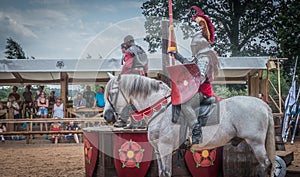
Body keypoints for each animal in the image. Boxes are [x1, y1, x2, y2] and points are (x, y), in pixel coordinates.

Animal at [104, 73, 276, 177]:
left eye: (112, 92)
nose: (107, 116)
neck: (160, 110)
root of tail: (262, 104)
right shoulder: (158, 151)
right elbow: (162, 172)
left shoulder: (165, 148)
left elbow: (167, 173)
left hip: (256, 143)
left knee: (265, 165)